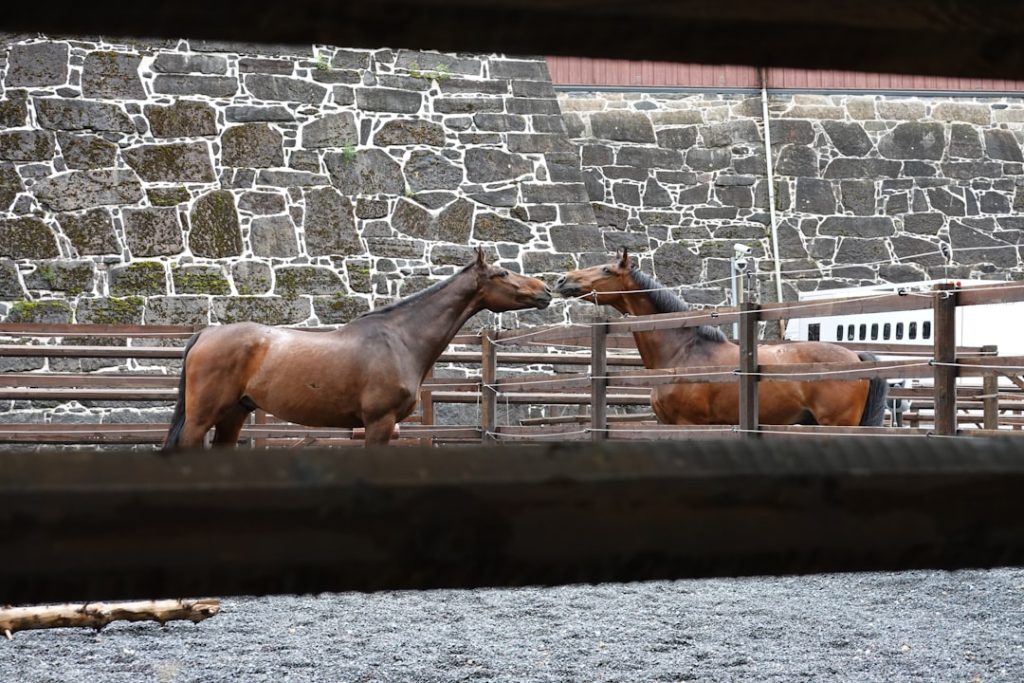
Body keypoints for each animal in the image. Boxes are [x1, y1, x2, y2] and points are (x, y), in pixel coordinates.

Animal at [162, 249, 552, 449]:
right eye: (502, 273)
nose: (546, 290)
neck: (400, 338)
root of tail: (205, 334)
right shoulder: (379, 423)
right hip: (201, 419)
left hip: (234, 414)